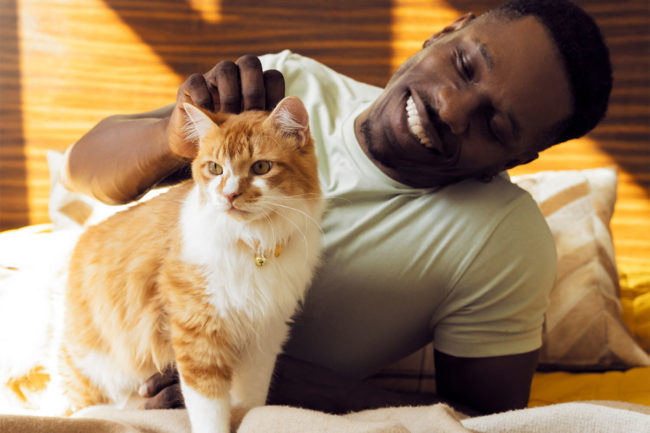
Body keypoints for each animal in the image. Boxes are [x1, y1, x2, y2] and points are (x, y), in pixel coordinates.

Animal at [59, 95, 322, 432]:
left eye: (261, 167)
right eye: (215, 168)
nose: (230, 195)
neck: (252, 244)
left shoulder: (263, 335)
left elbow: (250, 400)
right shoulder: (198, 332)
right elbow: (209, 409)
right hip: (92, 370)